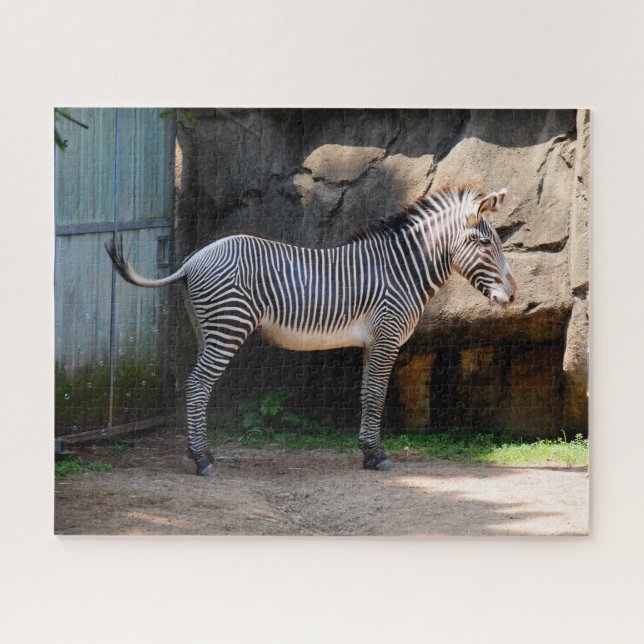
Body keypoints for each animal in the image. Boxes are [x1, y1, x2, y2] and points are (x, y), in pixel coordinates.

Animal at [106, 185, 516, 476]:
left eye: (497, 242)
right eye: (484, 243)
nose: (512, 296)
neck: (401, 270)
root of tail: (191, 261)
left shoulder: (372, 341)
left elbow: (366, 395)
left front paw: (367, 453)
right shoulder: (387, 336)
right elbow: (377, 396)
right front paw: (378, 455)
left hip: (206, 328)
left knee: (196, 386)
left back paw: (201, 453)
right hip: (228, 327)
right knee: (197, 385)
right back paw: (202, 459)